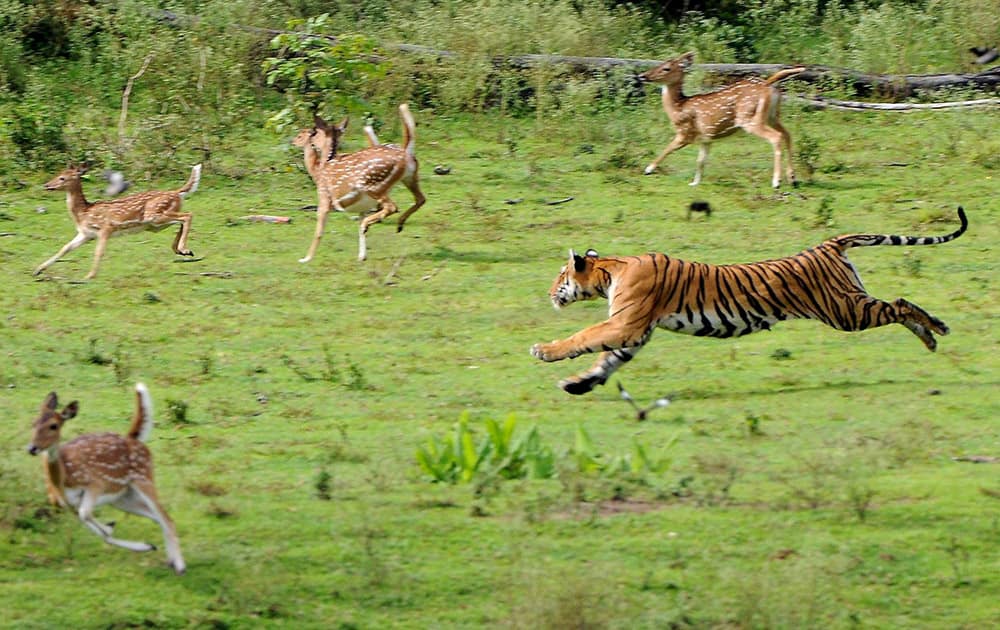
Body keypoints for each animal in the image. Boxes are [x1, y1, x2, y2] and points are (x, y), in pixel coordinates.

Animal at [27, 382, 187, 576]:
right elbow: (96, 528)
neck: (65, 479)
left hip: (143, 478)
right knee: (157, 518)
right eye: (33, 423)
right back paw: (168, 559)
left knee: (167, 518)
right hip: (121, 497)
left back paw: (180, 566)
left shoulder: (96, 483)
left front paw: (110, 527)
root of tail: (134, 439)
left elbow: (87, 515)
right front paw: (142, 543)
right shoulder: (67, 504)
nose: (32, 448)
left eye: (54, 425)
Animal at [34, 163, 201, 282]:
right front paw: (38, 270)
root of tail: (177, 193)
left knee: (187, 215)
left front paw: (89, 276)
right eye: (58, 174)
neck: (84, 212)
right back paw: (182, 250)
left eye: (62, 178)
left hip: (155, 215)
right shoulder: (86, 234)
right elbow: (65, 248)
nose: (47, 185)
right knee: (181, 220)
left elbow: (99, 251)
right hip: (155, 224)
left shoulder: (106, 227)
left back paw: (183, 248)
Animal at [292, 103, 426, 262]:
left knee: (392, 206)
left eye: (303, 134)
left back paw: (372, 224)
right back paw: (397, 225)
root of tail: (406, 154)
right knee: (420, 199)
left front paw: (306, 258)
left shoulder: (324, 197)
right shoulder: (362, 207)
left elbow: (319, 231)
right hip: (410, 178)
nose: (292, 141)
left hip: (373, 185)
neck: (318, 170)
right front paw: (362, 256)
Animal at [532, 207, 968, 396]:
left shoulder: (627, 323)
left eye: (560, 274)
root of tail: (828, 244)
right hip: (849, 304)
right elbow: (606, 361)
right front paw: (577, 384)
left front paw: (544, 351)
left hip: (845, 311)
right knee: (897, 305)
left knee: (900, 303)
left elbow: (584, 337)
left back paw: (935, 331)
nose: (549, 291)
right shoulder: (634, 333)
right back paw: (933, 335)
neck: (610, 270)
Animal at [640, 52, 804, 189]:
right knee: (788, 134)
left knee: (776, 137)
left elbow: (668, 148)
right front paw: (694, 183)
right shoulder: (706, 138)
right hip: (773, 116)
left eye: (666, 68)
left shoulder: (685, 132)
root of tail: (767, 84)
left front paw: (648, 169)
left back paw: (777, 181)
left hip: (750, 118)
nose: (642, 75)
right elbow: (700, 160)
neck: (678, 108)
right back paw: (792, 178)